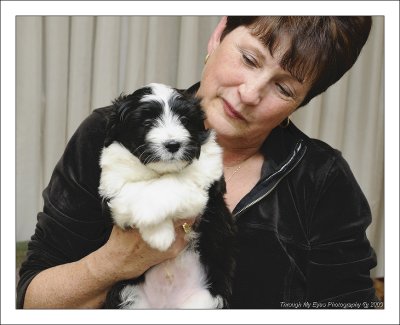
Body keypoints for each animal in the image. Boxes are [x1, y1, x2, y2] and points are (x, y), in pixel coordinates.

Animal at [99, 82, 236, 308]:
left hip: (202, 301)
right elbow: (133, 189)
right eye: (146, 122)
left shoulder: (208, 177)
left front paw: (157, 231)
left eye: (184, 120)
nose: (173, 145)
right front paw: (158, 233)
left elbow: (173, 182)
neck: (159, 171)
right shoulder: (113, 180)